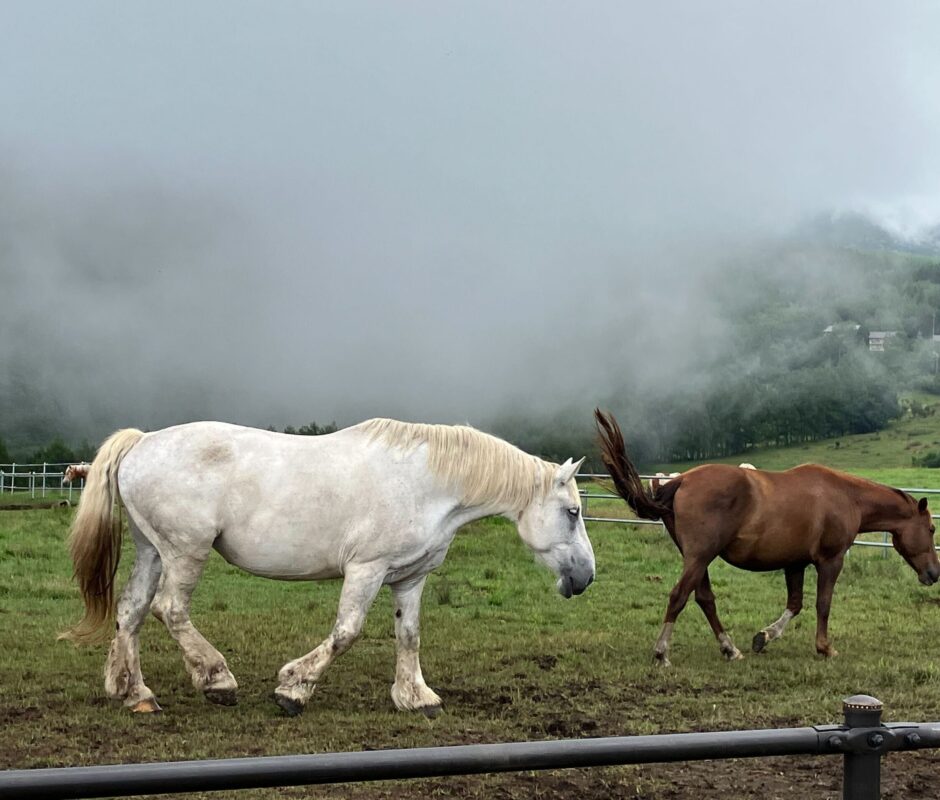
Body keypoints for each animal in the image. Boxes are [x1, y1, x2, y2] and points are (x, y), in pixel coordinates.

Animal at [60, 422, 596, 716]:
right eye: (572, 512)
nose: (585, 577)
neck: (425, 483)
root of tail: (141, 443)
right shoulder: (366, 570)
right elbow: (346, 632)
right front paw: (293, 688)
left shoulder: (409, 577)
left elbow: (409, 635)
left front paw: (415, 696)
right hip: (185, 551)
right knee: (169, 610)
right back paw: (216, 680)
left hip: (153, 550)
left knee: (130, 611)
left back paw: (133, 692)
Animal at [596, 410, 940, 664]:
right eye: (932, 529)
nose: (934, 573)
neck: (846, 497)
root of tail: (681, 481)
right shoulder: (831, 561)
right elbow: (823, 604)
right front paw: (825, 647)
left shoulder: (795, 563)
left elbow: (795, 604)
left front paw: (764, 637)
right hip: (699, 556)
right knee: (679, 596)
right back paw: (662, 652)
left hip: (698, 559)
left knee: (704, 599)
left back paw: (730, 649)